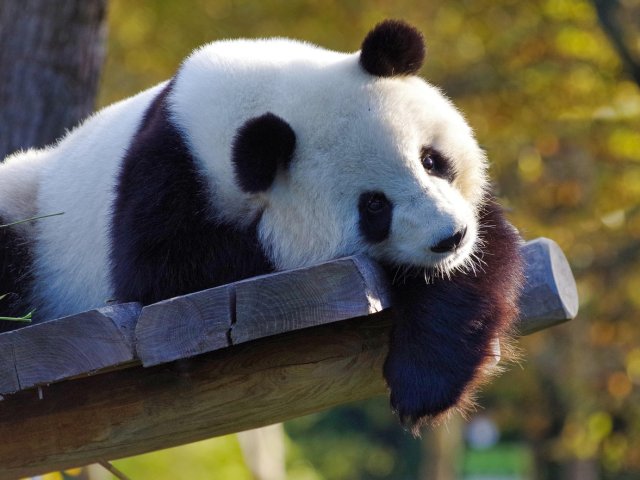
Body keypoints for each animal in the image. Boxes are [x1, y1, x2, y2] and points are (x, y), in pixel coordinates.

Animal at [0, 20, 523, 432]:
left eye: (431, 160)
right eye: (374, 207)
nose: (449, 238)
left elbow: (481, 258)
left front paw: (423, 386)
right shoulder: (162, 179)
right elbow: (161, 273)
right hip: (30, 208)